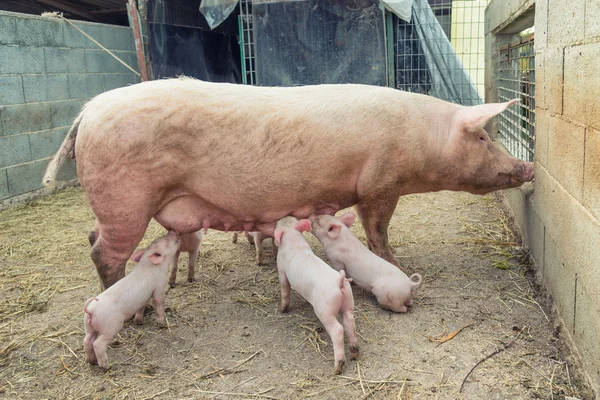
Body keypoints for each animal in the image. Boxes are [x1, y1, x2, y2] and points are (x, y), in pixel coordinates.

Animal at [42, 78, 536, 290]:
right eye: (484, 137)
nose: (530, 168)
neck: (420, 139)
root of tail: (88, 111)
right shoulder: (380, 184)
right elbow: (378, 231)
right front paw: (401, 265)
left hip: (114, 205)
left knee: (92, 237)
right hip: (124, 199)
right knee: (102, 253)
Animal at [83, 231, 179, 368]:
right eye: (165, 242)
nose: (171, 231)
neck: (150, 264)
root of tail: (91, 311)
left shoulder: (143, 297)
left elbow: (141, 307)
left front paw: (138, 321)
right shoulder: (159, 286)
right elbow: (159, 302)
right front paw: (161, 323)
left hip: (89, 327)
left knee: (87, 341)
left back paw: (91, 361)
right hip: (111, 327)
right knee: (98, 344)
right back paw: (106, 366)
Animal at [274, 217, 358, 374]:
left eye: (278, 224)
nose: (281, 217)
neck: (293, 241)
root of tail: (340, 284)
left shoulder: (281, 270)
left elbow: (285, 289)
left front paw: (282, 309)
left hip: (325, 311)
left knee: (338, 330)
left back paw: (337, 368)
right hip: (348, 303)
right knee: (350, 322)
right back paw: (354, 354)